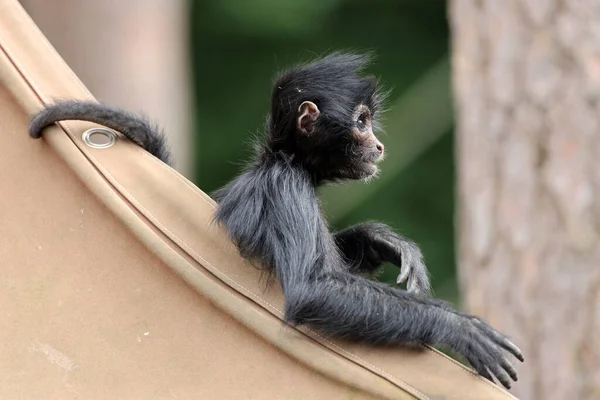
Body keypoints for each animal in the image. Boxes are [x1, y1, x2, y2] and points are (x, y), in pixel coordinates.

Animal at [30, 51, 524, 390]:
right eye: (362, 122)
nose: (379, 145)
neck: (282, 159)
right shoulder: (287, 188)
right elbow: (312, 291)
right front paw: (460, 327)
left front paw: (382, 240)